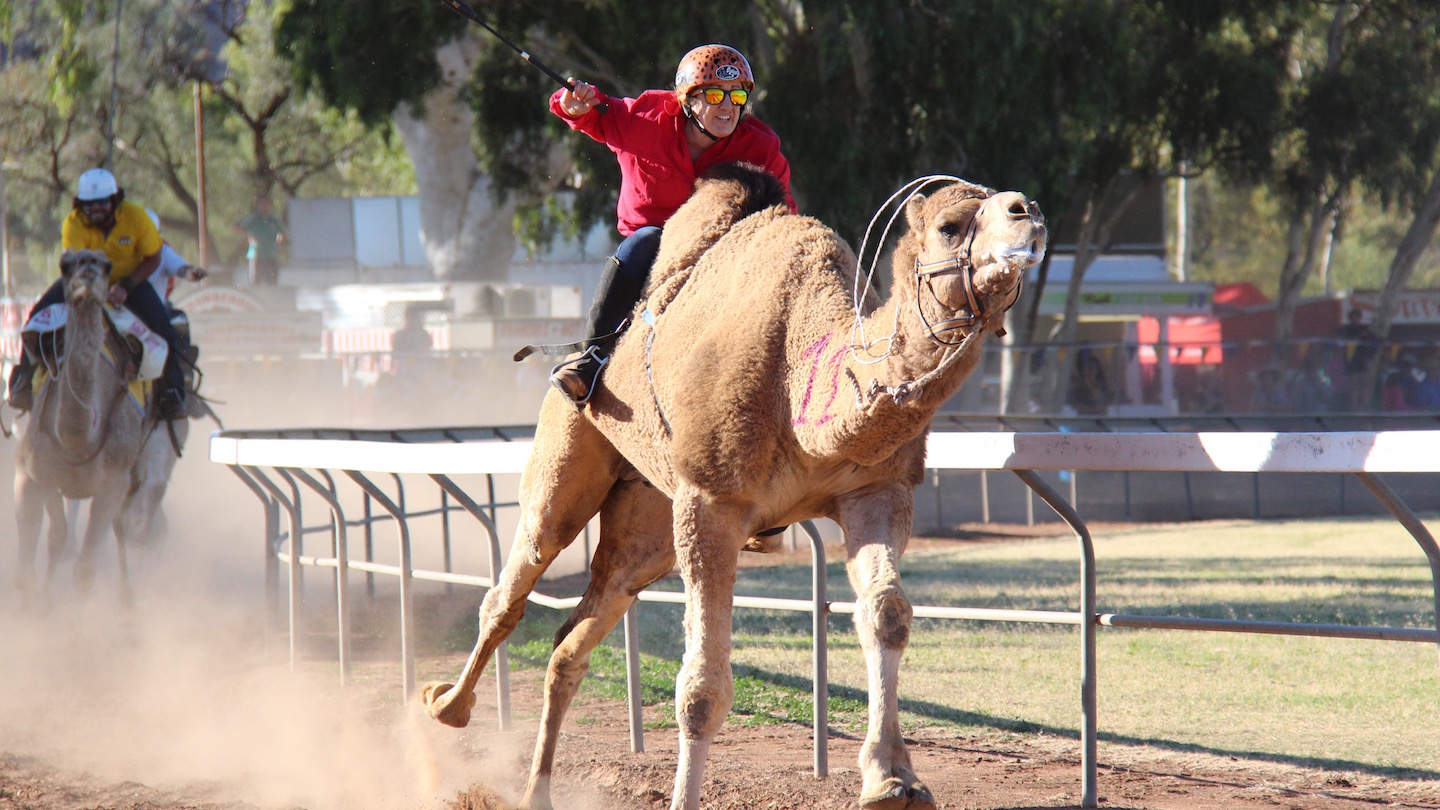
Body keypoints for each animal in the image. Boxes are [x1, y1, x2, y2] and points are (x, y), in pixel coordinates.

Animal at [13, 249, 179, 606]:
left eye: (106, 265)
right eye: (65, 264)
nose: (87, 272)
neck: (76, 441)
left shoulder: (113, 484)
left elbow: (85, 569)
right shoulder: (32, 473)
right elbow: (42, 549)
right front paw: (40, 602)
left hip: (137, 470)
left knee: (124, 524)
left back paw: (127, 597)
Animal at [424, 164, 1047, 810]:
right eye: (951, 225)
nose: (1027, 211)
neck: (800, 381)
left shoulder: (876, 491)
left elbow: (887, 614)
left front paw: (893, 779)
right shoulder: (712, 500)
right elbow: (700, 689)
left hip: (649, 516)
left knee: (577, 631)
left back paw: (535, 790)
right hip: (569, 458)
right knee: (513, 585)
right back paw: (447, 706)